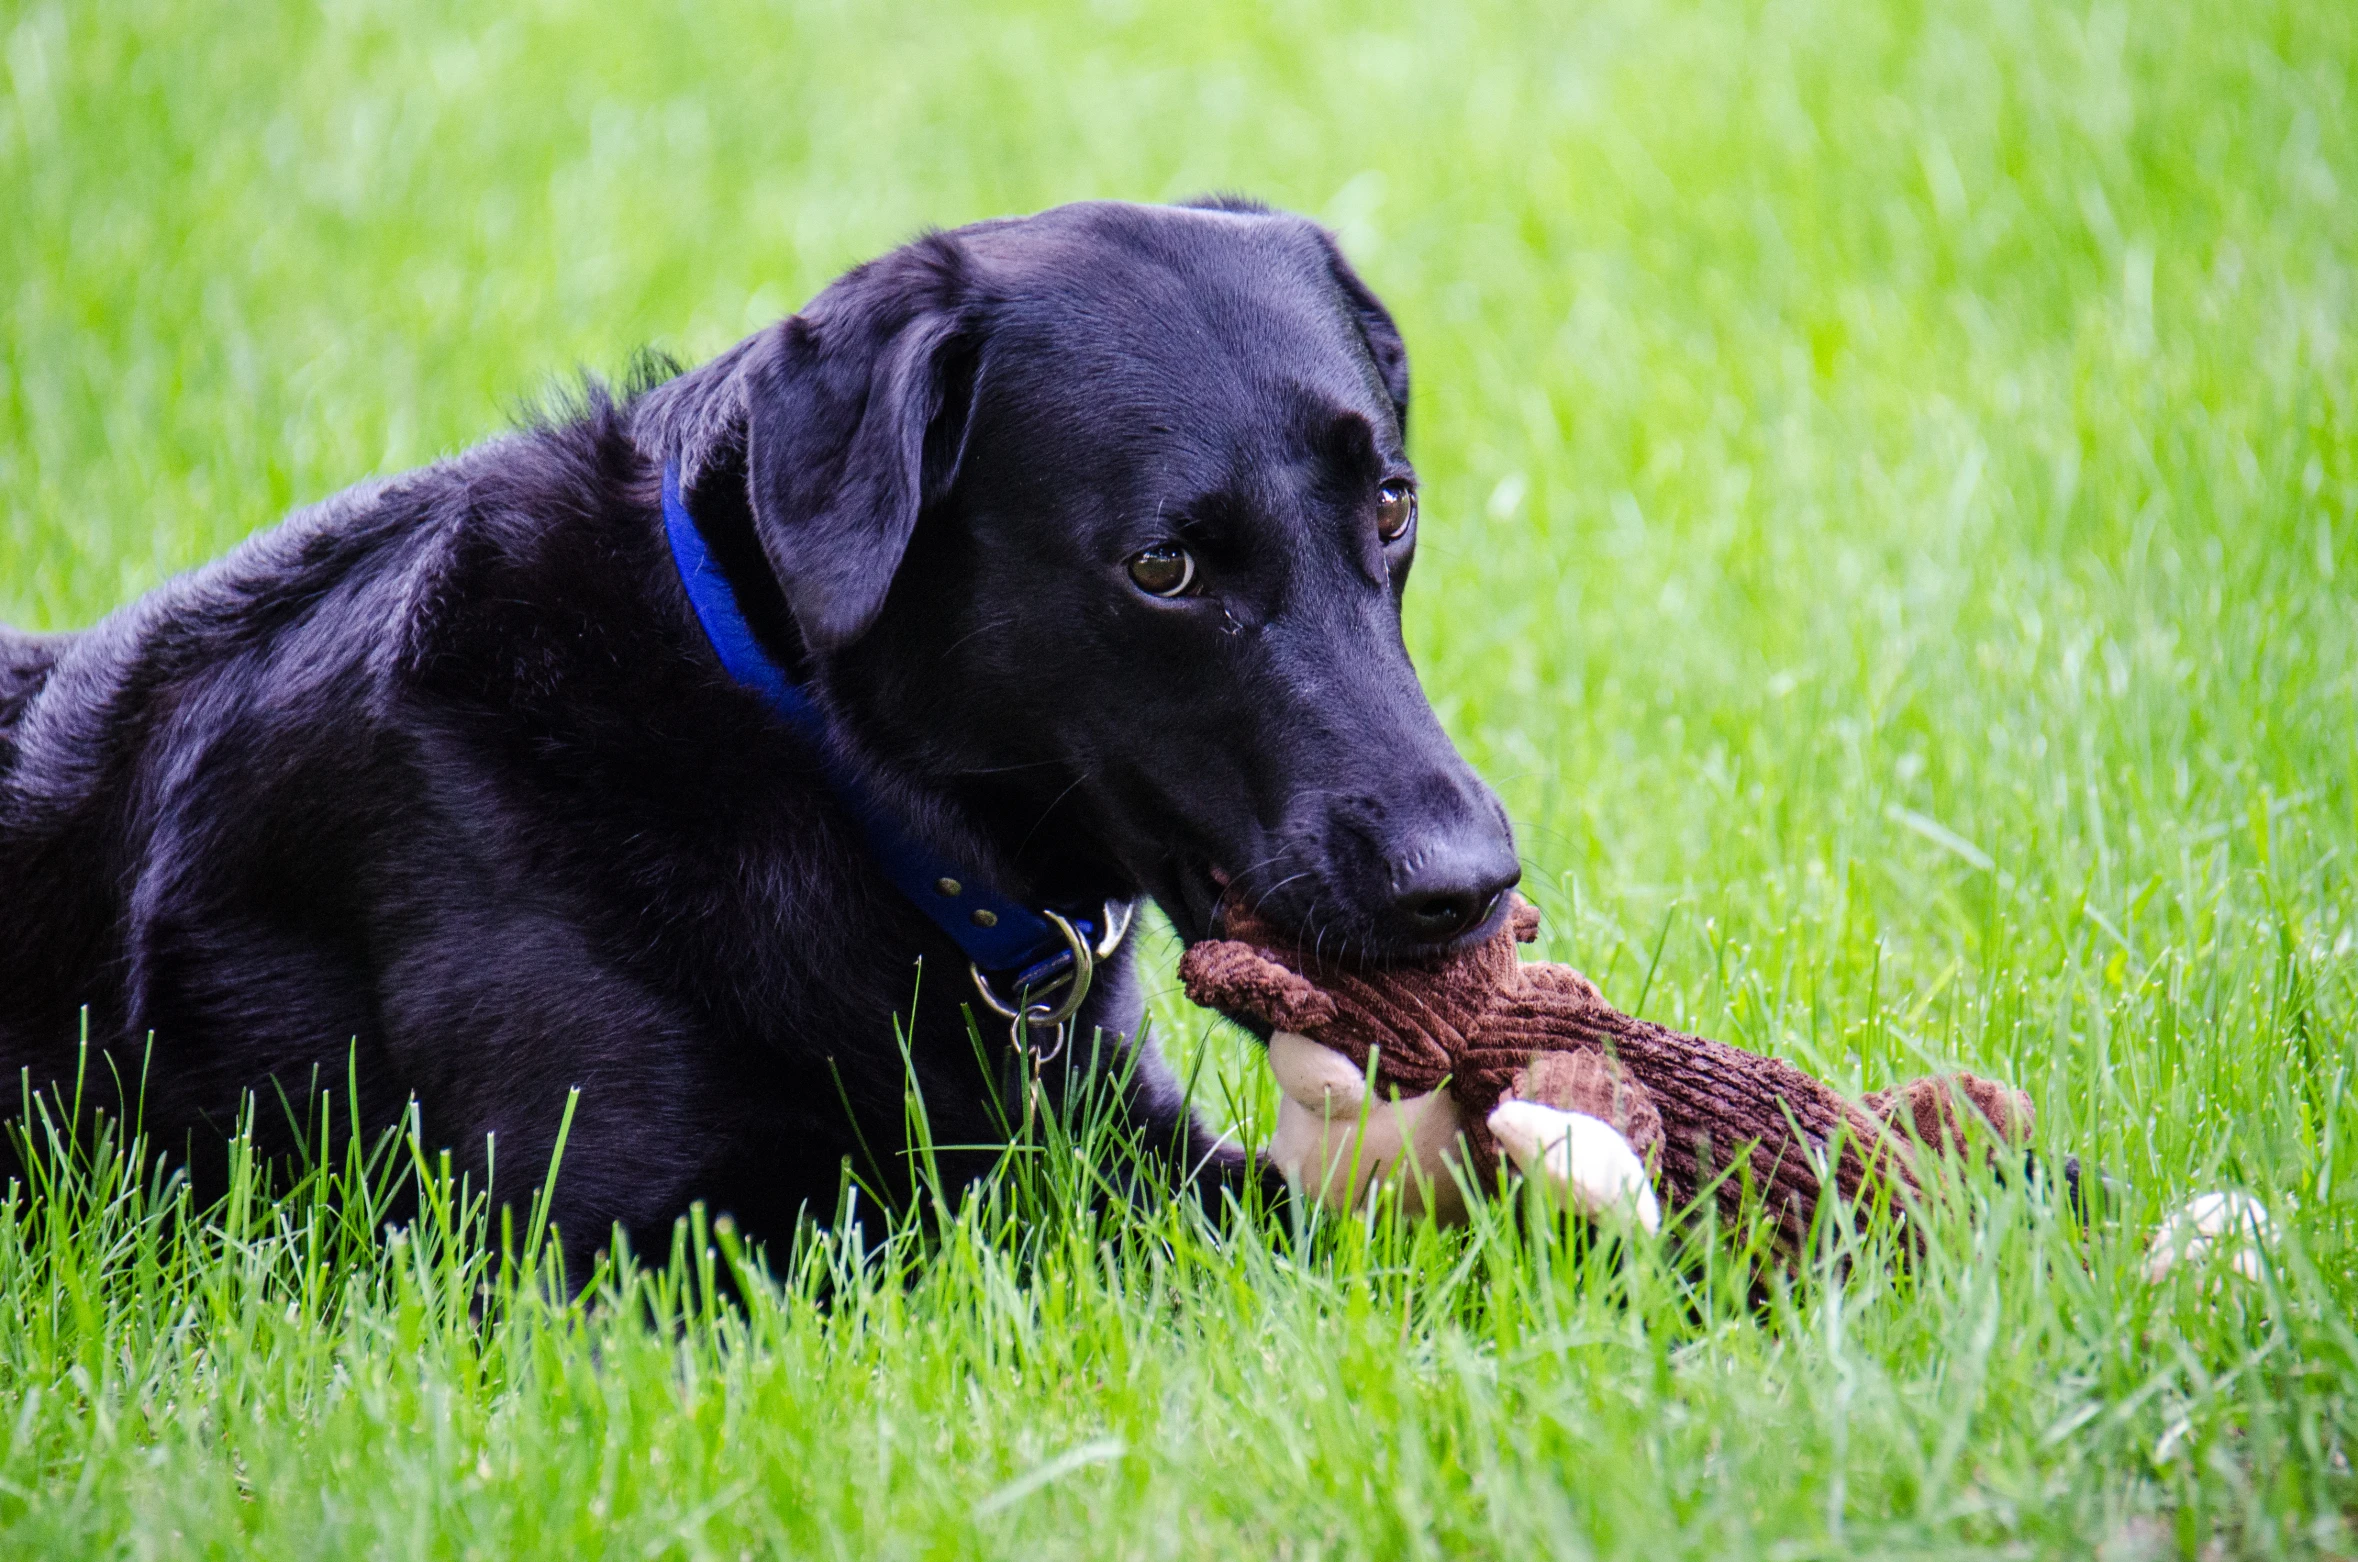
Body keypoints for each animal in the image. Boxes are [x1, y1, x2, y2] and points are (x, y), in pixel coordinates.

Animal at [0, 201, 1509, 1264]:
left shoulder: (1121, 1136)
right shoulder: (609, 1244)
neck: (821, 770)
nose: (1469, 885)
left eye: (1391, 506)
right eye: (1164, 567)